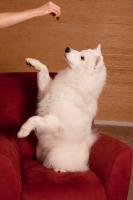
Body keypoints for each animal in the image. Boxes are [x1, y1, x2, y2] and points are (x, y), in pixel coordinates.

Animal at [17, 44, 107, 173]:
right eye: (81, 51)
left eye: (82, 58)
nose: (67, 48)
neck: (74, 84)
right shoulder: (44, 93)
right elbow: (44, 69)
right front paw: (32, 62)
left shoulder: (55, 121)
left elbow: (34, 119)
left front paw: (23, 130)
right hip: (40, 149)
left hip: (56, 154)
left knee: (75, 167)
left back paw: (60, 169)